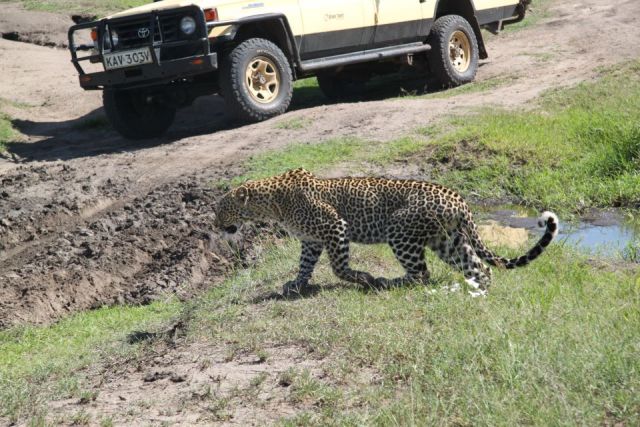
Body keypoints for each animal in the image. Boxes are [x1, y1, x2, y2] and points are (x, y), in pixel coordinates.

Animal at [212, 169, 556, 296]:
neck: (270, 203)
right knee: (480, 266)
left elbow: (339, 267)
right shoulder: (311, 241)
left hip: (400, 233)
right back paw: (478, 290)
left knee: (422, 274)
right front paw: (296, 285)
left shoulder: (335, 227)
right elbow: (304, 266)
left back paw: (388, 282)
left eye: (220, 209)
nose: (215, 225)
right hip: (447, 239)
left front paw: (363, 278)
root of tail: (459, 198)